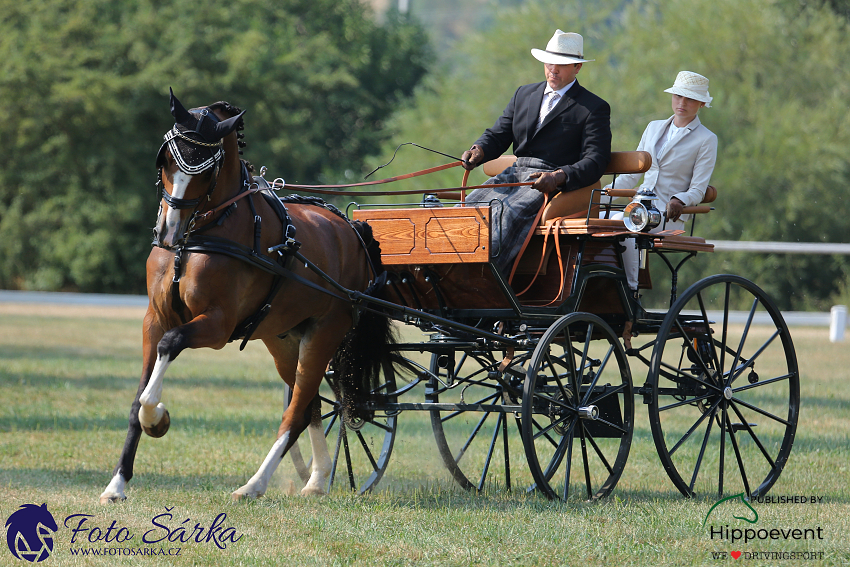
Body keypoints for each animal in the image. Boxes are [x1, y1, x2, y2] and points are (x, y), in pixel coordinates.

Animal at [99, 91, 394, 504]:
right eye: (167, 159)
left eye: (206, 170)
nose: (168, 231)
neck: (198, 237)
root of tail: (351, 230)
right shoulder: (153, 320)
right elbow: (137, 398)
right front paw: (117, 484)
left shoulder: (217, 324)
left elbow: (167, 352)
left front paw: (157, 418)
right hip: (285, 339)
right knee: (310, 404)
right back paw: (317, 480)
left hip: (324, 333)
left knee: (295, 411)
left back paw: (254, 485)